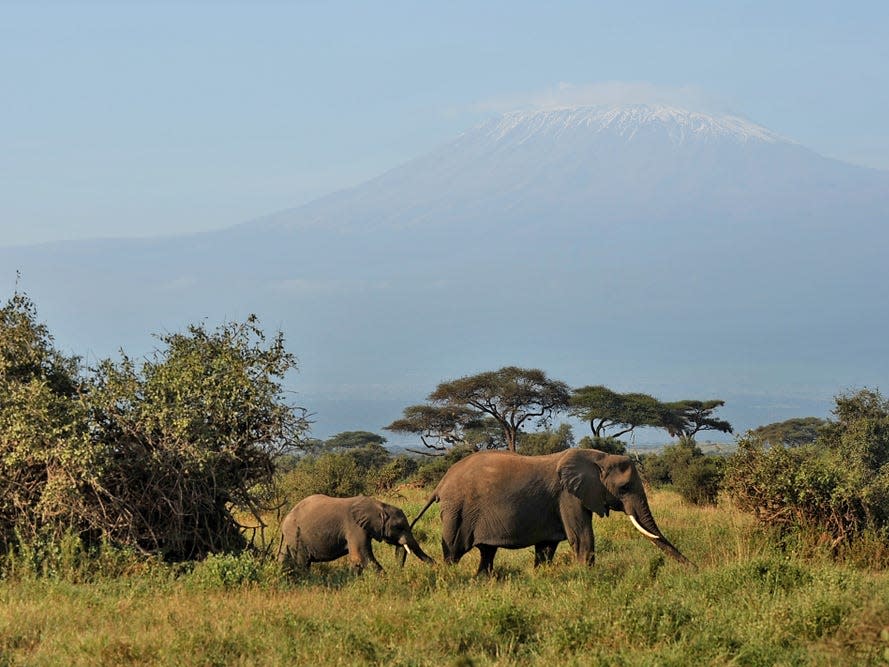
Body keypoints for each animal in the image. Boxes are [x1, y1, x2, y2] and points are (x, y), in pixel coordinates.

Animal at [276, 494, 432, 572]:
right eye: (399, 526)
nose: (436, 566)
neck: (380, 505)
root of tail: (284, 520)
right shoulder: (354, 526)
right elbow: (362, 557)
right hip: (296, 535)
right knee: (303, 563)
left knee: (284, 558)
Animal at [406, 448, 692, 576]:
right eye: (624, 488)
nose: (694, 568)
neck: (598, 457)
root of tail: (442, 482)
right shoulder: (569, 496)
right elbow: (582, 537)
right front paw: (586, 578)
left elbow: (546, 547)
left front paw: (542, 576)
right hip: (457, 510)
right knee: (454, 549)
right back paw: (449, 577)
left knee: (487, 551)